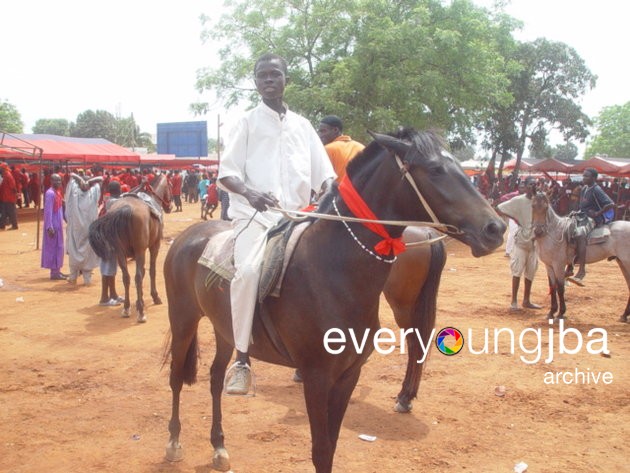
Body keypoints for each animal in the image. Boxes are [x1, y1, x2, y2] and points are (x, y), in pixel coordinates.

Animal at [89, 173, 172, 320]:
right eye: (170, 186)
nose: (170, 206)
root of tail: (125, 208)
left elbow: (142, 272)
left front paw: (140, 300)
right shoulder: (154, 246)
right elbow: (151, 271)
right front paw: (154, 296)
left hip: (120, 253)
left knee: (126, 277)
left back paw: (126, 307)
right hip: (139, 250)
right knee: (137, 277)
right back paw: (141, 313)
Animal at [164, 129, 508, 472]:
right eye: (435, 169)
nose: (496, 227)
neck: (332, 270)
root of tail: (187, 237)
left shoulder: (348, 375)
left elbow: (330, 446)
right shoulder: (317, 378)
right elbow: (321, 450)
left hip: (224, 328)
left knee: (214, 377)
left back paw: (219, 446)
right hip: (183, 321)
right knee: (176, 377)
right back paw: (174, 443)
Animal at [532, 192, 630, 320]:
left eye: (545, 208)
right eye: (533, 206)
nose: (538, 231)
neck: (554, 232)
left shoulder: (558, 265)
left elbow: (560, 288)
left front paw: (561, 313)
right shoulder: (549, 265)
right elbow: (552, 287)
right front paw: (551, 312)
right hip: (622, 262)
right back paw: (624, 315)